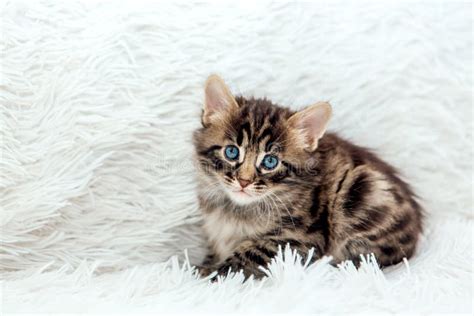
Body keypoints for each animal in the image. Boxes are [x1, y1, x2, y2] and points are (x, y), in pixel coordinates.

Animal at [193, 74, 422, 278]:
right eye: (232, 152)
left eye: (270, 162)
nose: (244, 181)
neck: (235, 209)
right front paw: (204, 264)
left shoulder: (297, 240)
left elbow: (246, 255)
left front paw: (209, 273)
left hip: (363, 191)